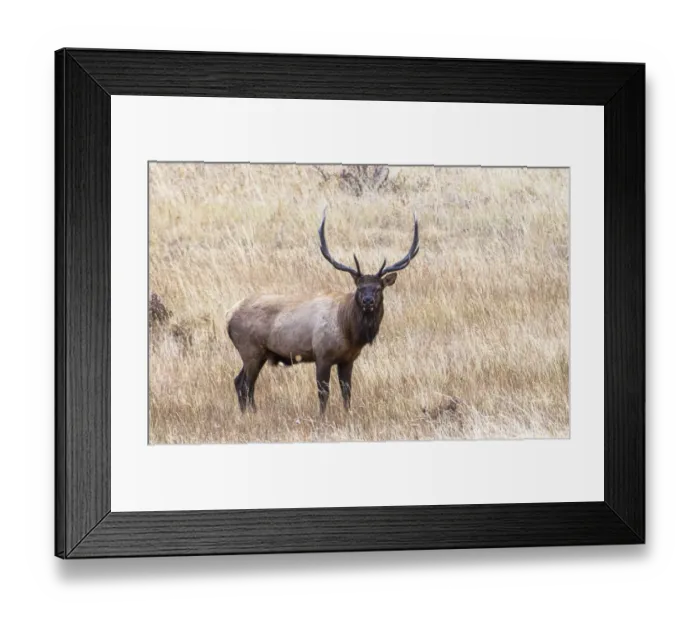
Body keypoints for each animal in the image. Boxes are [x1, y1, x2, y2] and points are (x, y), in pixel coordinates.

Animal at [225, 209, 419, 415]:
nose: (368, 301)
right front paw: (322, 416)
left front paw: (347, 414)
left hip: (258, 353)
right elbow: (323, 392)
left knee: (239, 381)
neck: (349, 331)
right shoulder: (322, 354)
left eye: (378, 288)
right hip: (250, 349)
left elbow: (347, 391)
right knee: (246, 384)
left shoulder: (348, 359)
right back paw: (252, 413)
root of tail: (228, 316)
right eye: (359, 287)